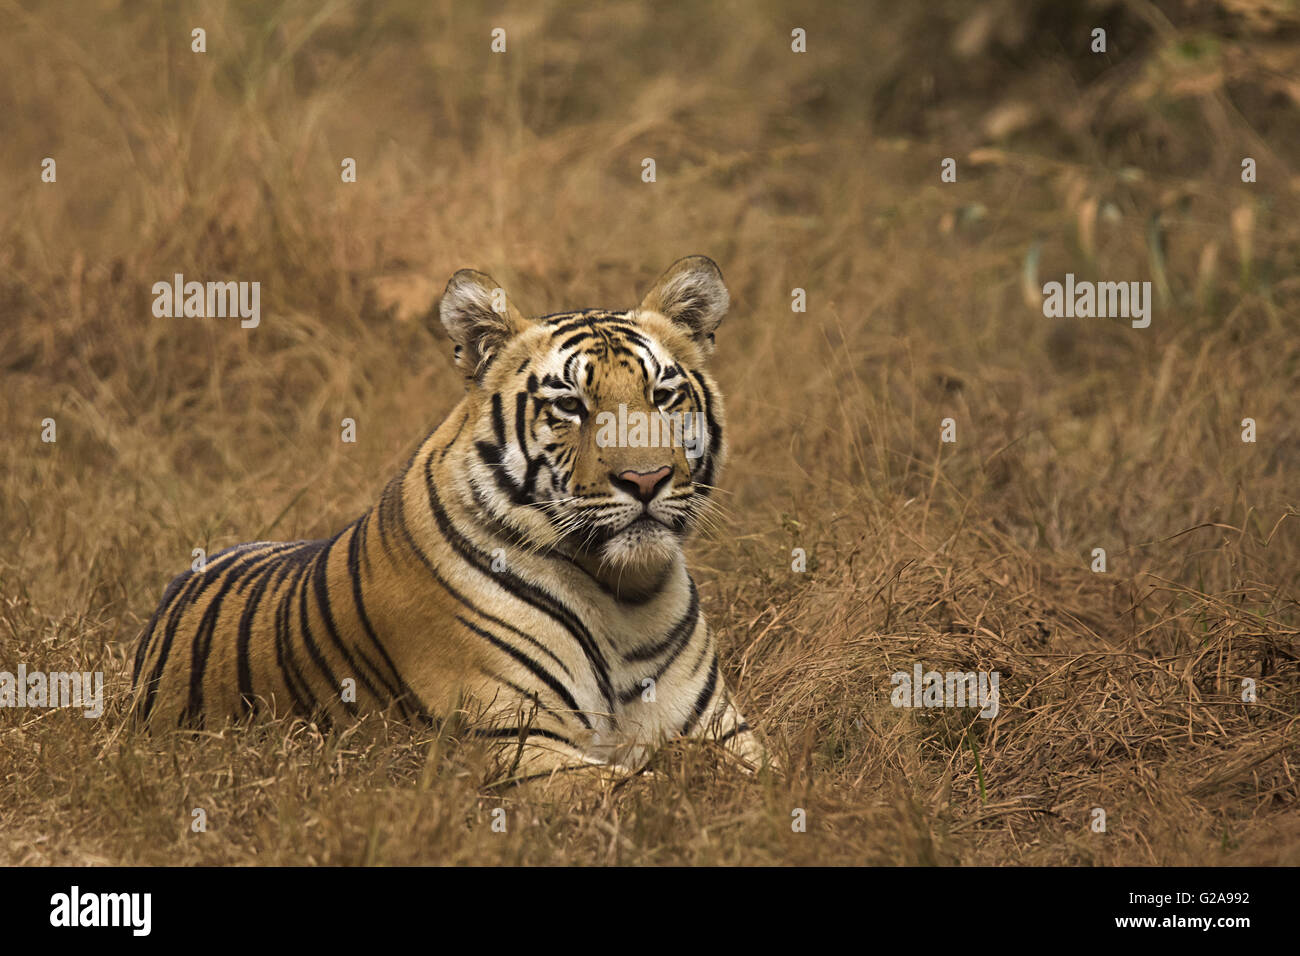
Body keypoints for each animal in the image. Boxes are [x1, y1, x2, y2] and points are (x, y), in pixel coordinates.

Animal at [134, 256, 769, 785]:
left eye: (663, 396)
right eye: (570, 405)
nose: (646, 479)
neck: (624, 597)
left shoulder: (720, 731)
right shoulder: (517, 743)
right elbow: (650, 796)